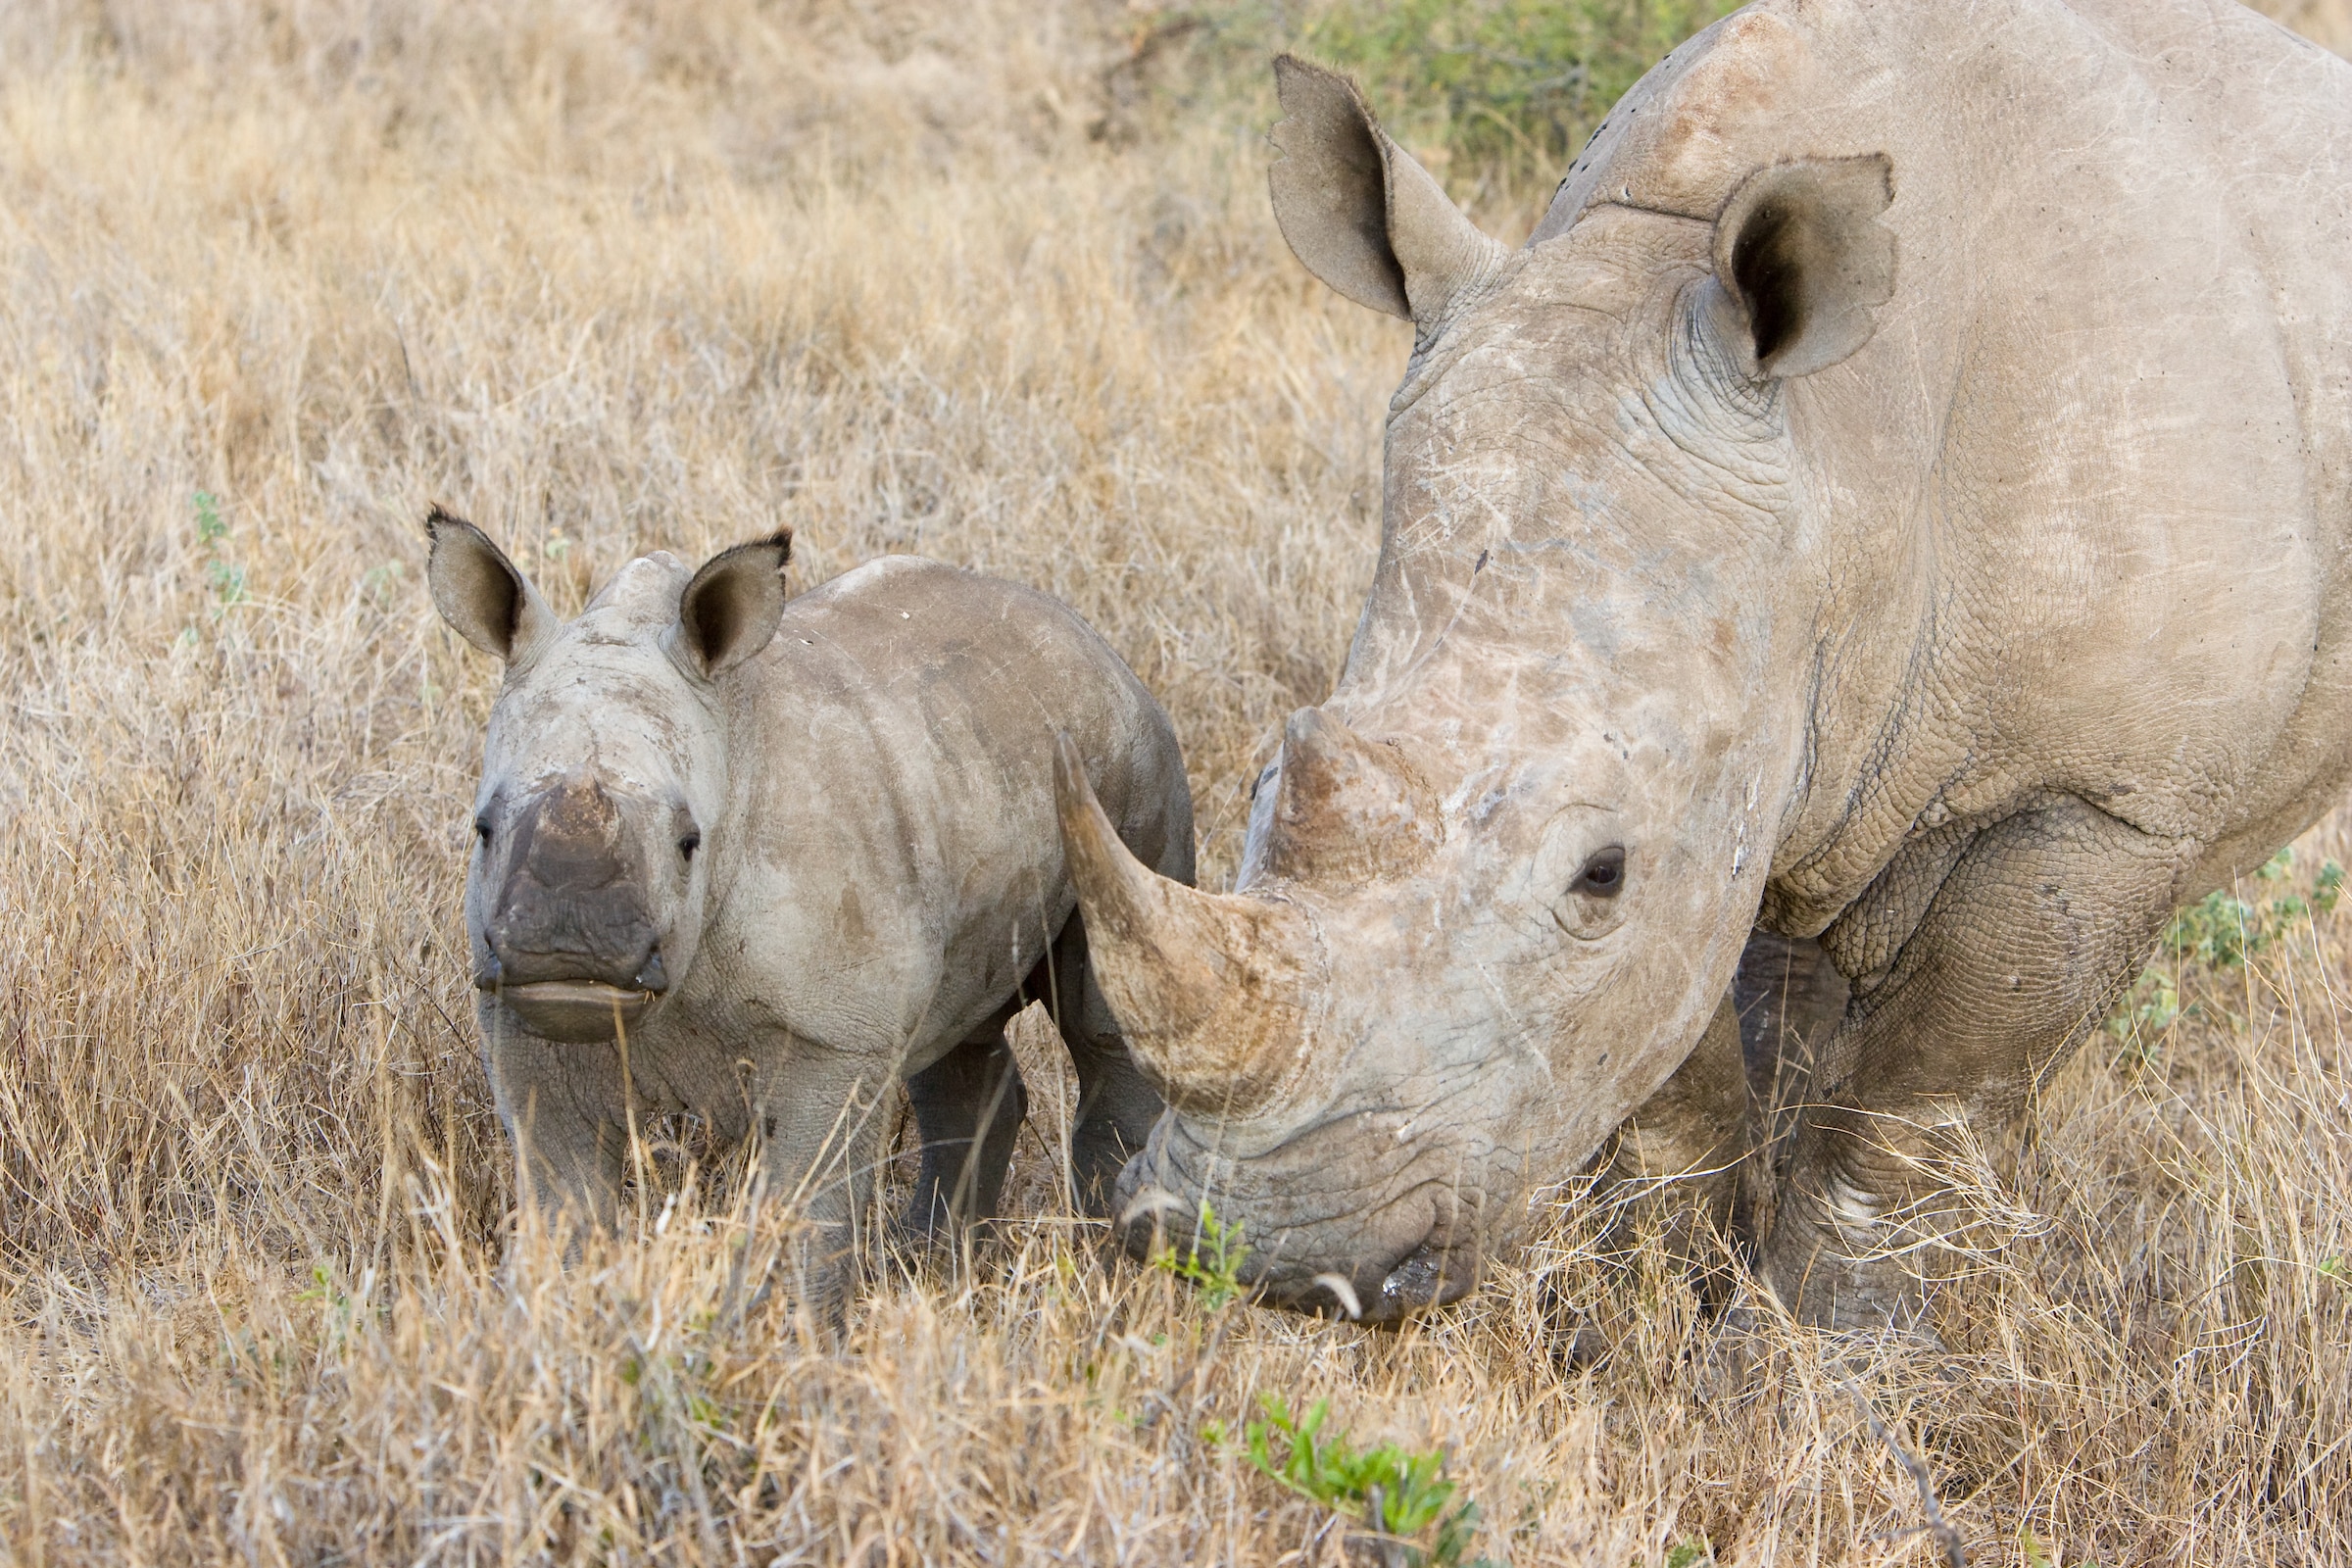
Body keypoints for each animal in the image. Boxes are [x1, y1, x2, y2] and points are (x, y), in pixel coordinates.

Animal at [426, 510, 1193, 1302]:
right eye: (482, 830)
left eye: (689, 842)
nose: (567, 951)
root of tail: (1089, 638)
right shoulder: (521, 1022)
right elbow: (563, 1209)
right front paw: (556, 1311)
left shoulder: (834, 1037)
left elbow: (804, 1214)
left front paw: (784, 1326)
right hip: (962, 764)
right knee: (951, 1030)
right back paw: (928, 1261)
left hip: (1130, 759)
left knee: (1106, 1022)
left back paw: (1114, 1265)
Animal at [1051, 0, 2352, 1331]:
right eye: (1267, 785)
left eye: (1600, 872)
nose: (1248, 1245)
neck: (1844, 460)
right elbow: (1672, 1061)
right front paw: (1651, 1303)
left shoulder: (2099, 800)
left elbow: (1911, 1110)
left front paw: (1820, 1354)